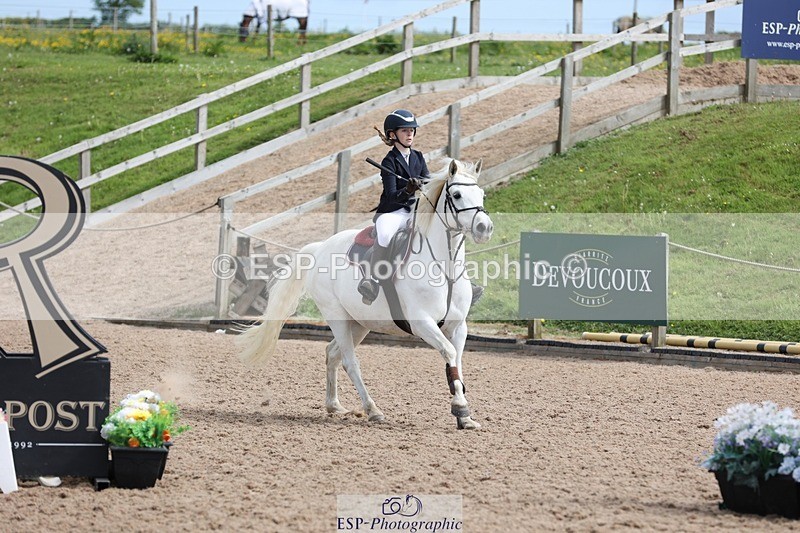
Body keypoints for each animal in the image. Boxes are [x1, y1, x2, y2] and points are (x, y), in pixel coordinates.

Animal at [237, 159, 494, 430]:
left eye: (482, 194)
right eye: (456, 195)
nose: (484, 228)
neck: (445, 269)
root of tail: (321, 247)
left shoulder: (458, 326)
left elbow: (457, 361)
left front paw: (464, 415)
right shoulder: (422, 323)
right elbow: (449, 352)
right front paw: (460, 408)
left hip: (359, 323)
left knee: (332, 353)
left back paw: (334, 405)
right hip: (337, 318)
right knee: (350, 362)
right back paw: (373, 410)